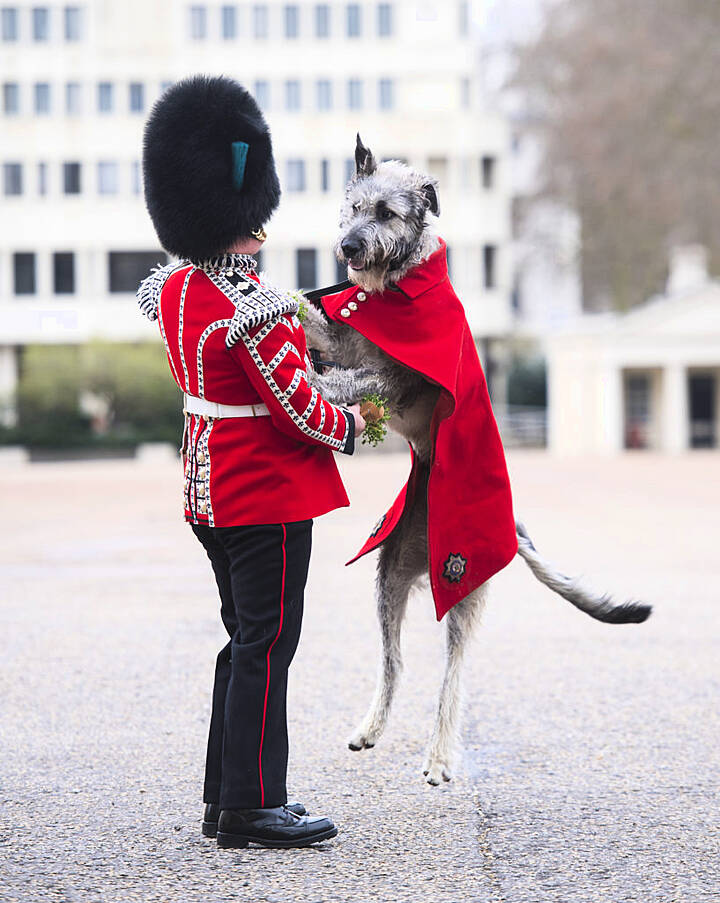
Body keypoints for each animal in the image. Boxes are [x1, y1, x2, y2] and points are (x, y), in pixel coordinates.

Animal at [300, 136, 648, 784]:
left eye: (386, 212)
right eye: (353, 207)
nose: (348, 248)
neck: (397, 287)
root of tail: (510, 528)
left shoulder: (393, 378)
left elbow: (351, 378)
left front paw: (313, 381)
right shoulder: (347, 339)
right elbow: (318, 325)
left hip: (462, 593)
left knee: (452, 681)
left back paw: (440, 756)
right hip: (389, 580)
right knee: (395, 664)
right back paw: (371, 727)